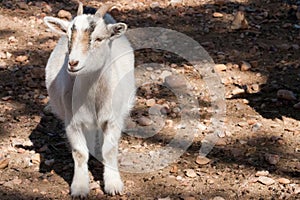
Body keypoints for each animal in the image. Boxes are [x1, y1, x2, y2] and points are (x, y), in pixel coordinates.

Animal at [43, 2, 135, 197]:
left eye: (99, 39)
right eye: (68, 35)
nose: (73, 63)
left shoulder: (113, 120)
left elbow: (109, 150)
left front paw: (113, 184)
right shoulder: (72, 122)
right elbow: (80, 153)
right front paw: (79, 187)